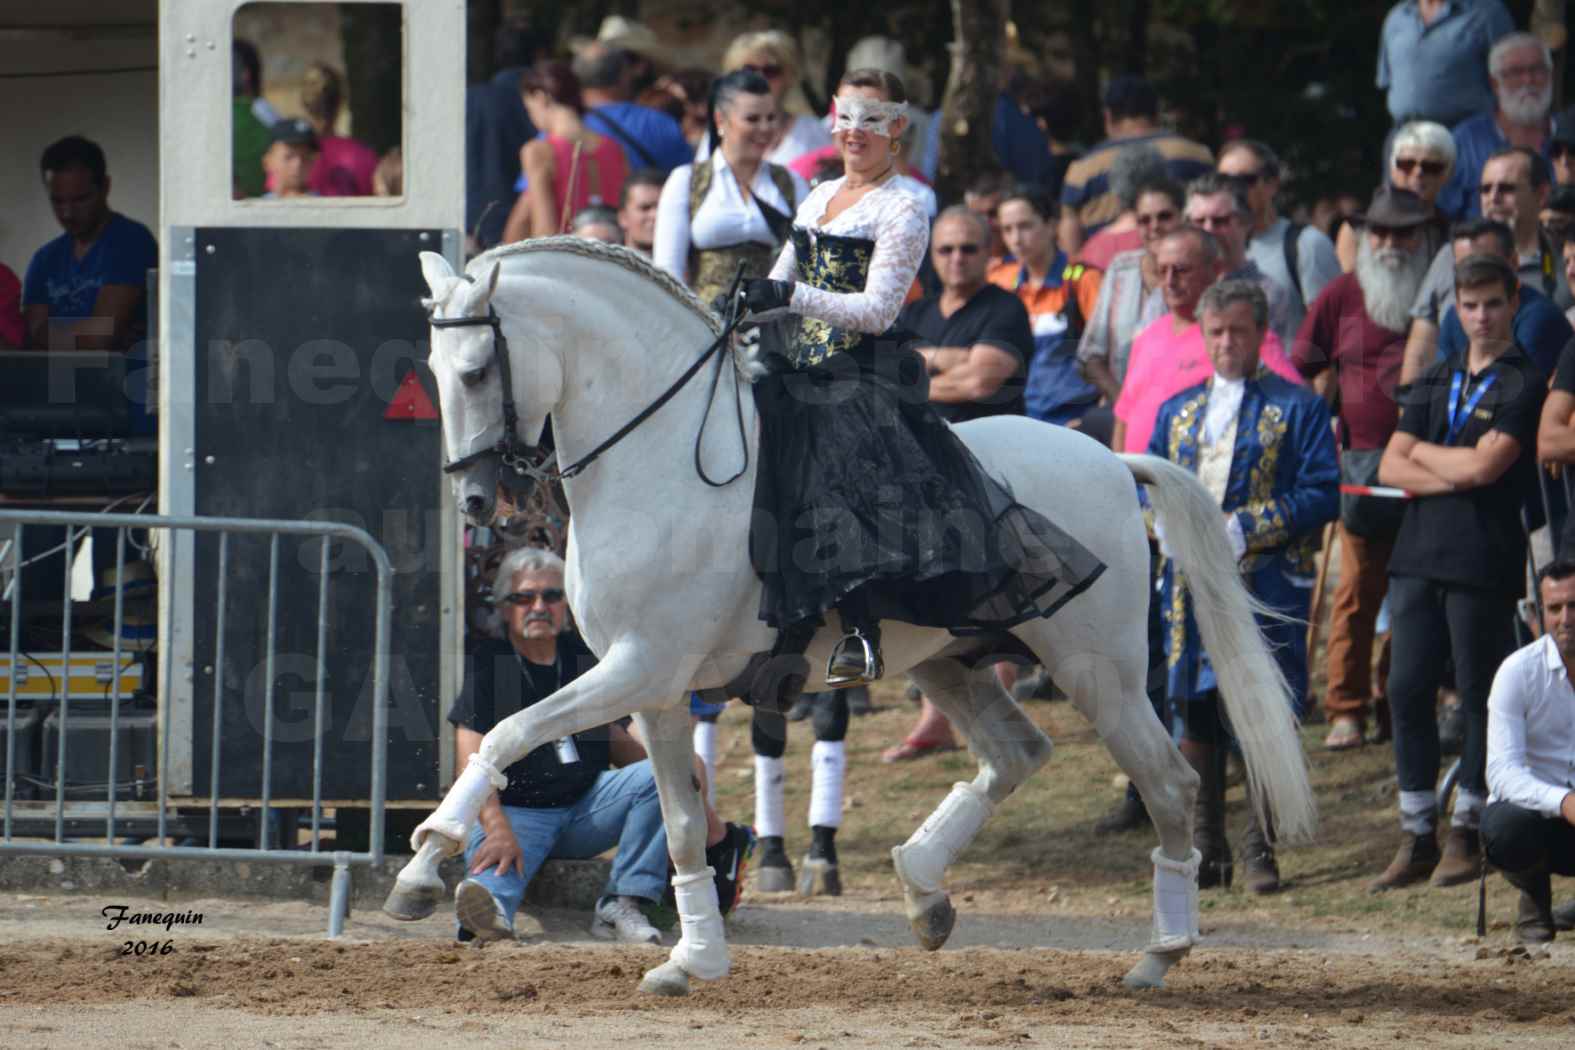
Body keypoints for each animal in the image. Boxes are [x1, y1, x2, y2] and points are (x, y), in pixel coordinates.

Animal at [387, 240, 1310, 1001]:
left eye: (477, 370)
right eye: (431, 365)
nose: (476, 503)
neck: (657, 459)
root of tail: (1113, 459)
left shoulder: (637, 667)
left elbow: (508, 732)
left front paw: (426, 863)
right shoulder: (653, 689)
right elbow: (680, 827)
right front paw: (694, 960)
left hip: (1097, 669)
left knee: (1169, 781)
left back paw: (1159, 954)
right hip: (951, 660)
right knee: (1019, 753)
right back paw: (924, 893)